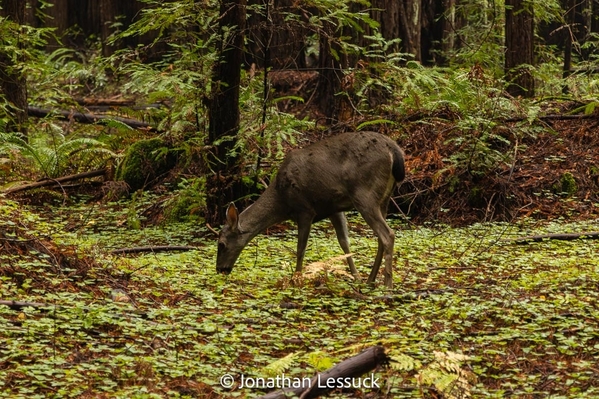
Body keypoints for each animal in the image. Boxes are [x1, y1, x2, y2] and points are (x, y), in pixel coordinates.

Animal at [217, 131, 408, 288]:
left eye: (221, 244)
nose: (219, 269)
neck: (281, 201)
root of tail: (394, 152)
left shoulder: (304, 209)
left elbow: (300, 248)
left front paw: (296, 279)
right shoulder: (333, 208)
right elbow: (344, 242)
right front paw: (356, 277)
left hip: (364, 194)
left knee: (388, 234)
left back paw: (388, 285)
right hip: (384, 199)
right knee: (381, 237)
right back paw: (370, 280)